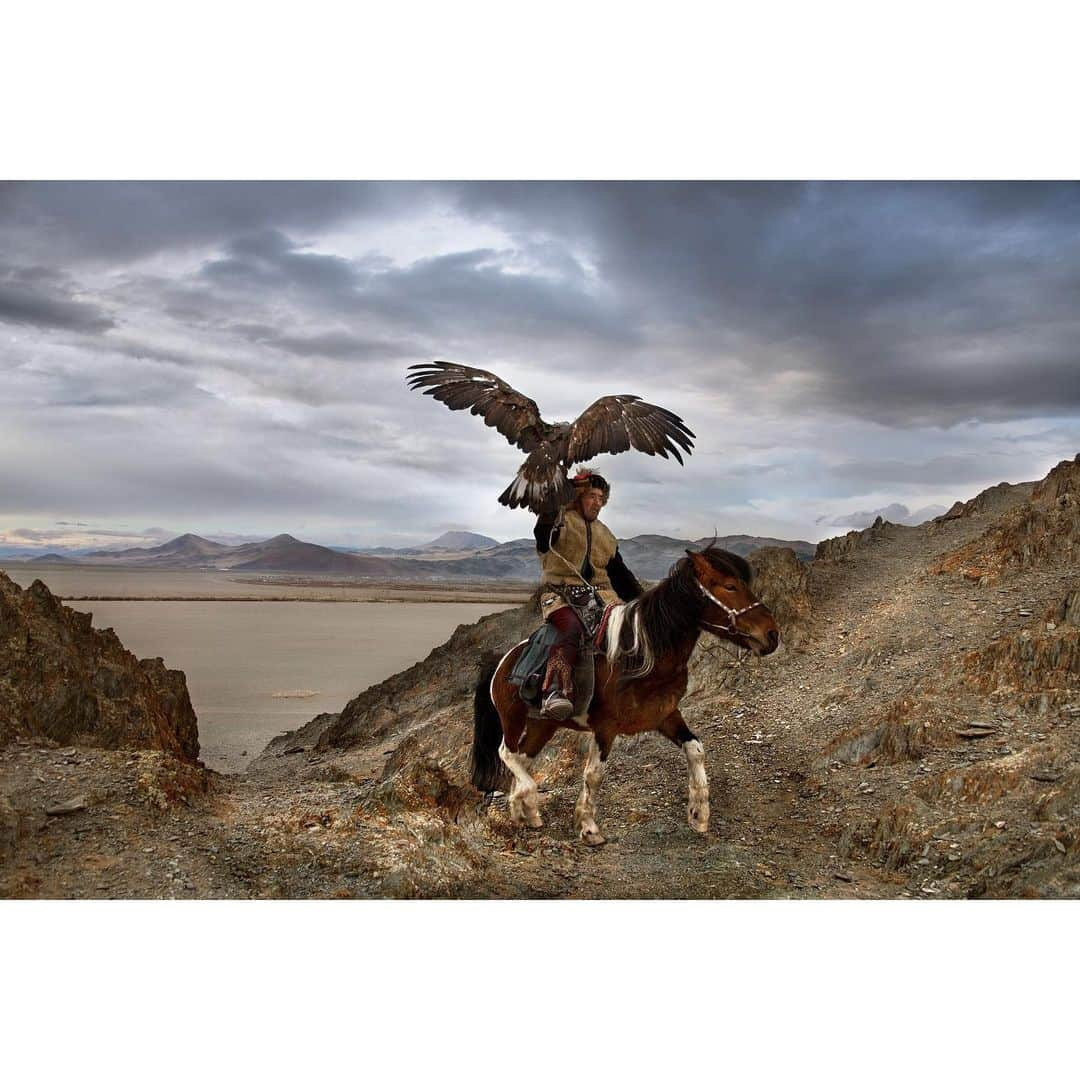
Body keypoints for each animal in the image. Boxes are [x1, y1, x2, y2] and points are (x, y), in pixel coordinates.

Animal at [468, 548, 781, 842]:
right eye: (730, 586)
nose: (772, 635)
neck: (641, 655)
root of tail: (502, 660)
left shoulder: (666, 715)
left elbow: (696, 750)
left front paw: (699, 814)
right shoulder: (605, 728)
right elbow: (594, 775)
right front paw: (588, 828)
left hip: (543, 725)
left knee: (523, 757)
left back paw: (526, 813)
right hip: (513, 719)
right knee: (507, 753)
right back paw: (526, 798)